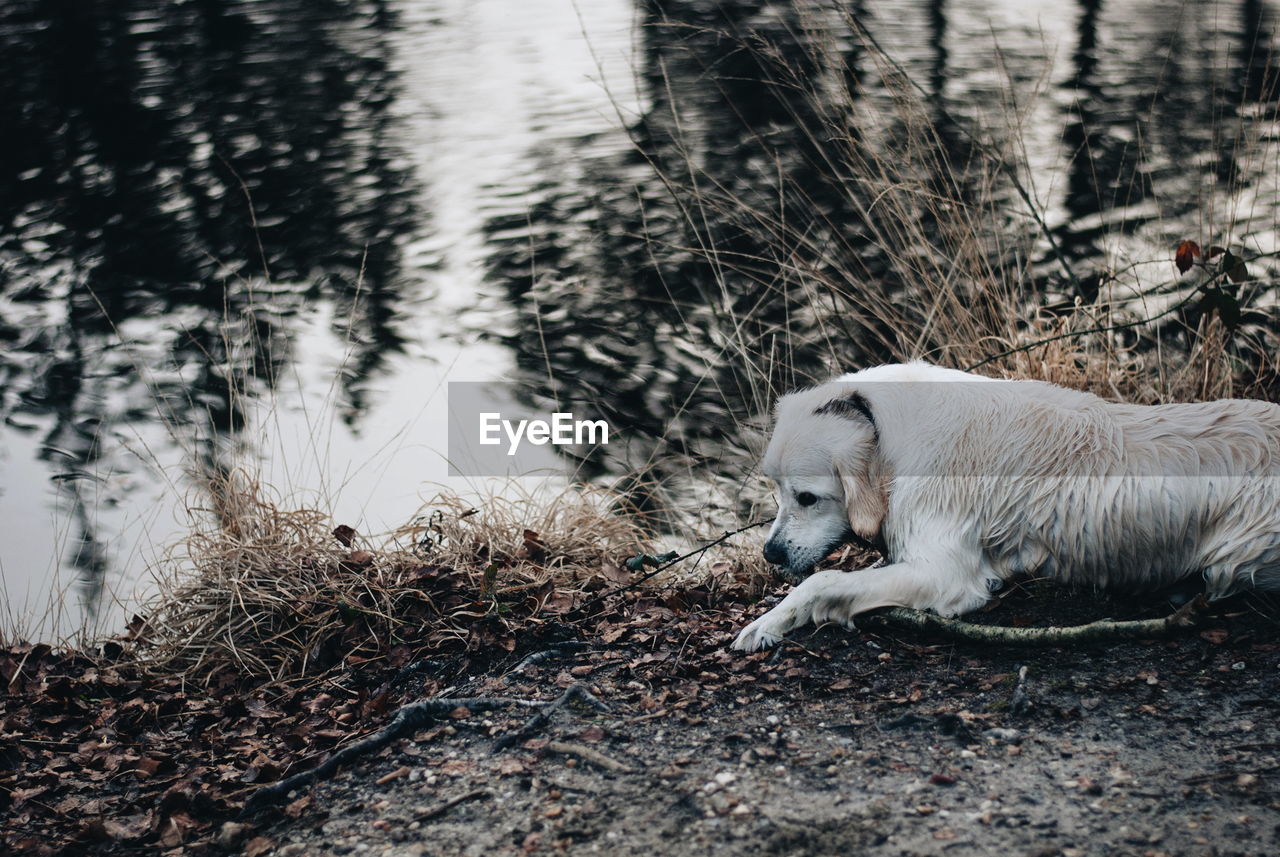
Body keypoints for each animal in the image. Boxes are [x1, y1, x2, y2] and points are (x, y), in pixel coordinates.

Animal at [732, 360, 1280, 652]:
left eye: (808, 497)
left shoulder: (946, 575)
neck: (895, 433)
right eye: (775, 489)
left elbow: (823, 581)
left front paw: (763, 624)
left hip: (1241, 557)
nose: (770, 555)